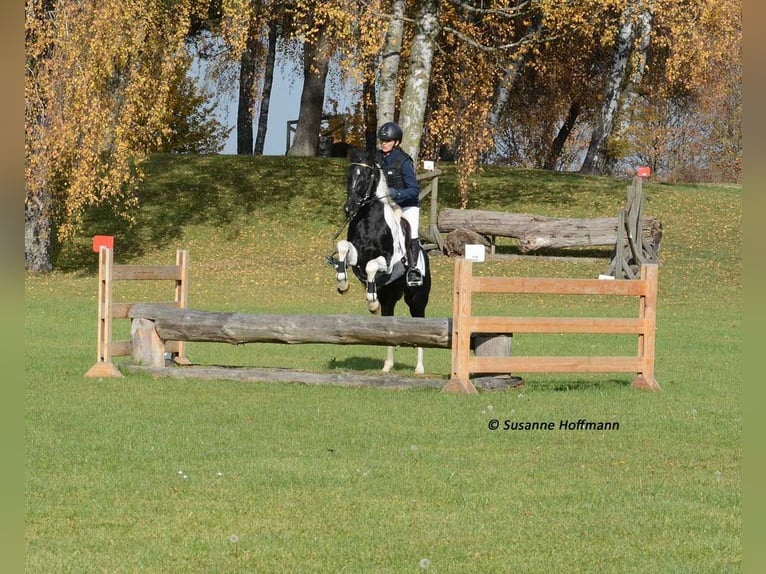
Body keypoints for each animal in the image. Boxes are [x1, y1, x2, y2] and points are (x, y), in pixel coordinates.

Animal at [329, 152, 431, 374]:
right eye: (349, 174)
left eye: (366, 176)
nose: (349, 208)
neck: (368, 219)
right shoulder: (356, 254)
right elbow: (343, 247)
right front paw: (343, 282)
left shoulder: (388, 261)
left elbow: (371, 267)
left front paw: (371, 299)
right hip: (390, 297)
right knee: (388, 324)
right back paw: (387, 365)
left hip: (417, 299)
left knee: (420, 322)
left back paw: (419, 368)